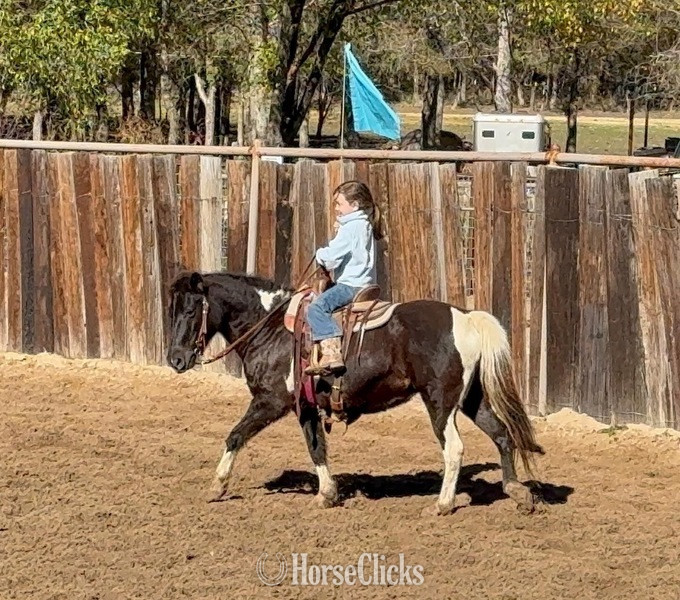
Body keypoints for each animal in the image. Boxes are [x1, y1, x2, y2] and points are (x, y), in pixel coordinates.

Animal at [166, 269, 545, 516]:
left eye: (190, 309)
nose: (176, 359)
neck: (270, 328)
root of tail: (465, 316)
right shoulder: (306, 407)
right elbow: (316, 447)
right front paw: (327, 494)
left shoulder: (271, 401)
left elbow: (236, 435)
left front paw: (217, 486)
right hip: (470, 399)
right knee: (502, 433)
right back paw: (517, 492)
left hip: (440, 402)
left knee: (454, 448)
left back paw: (442, 504)